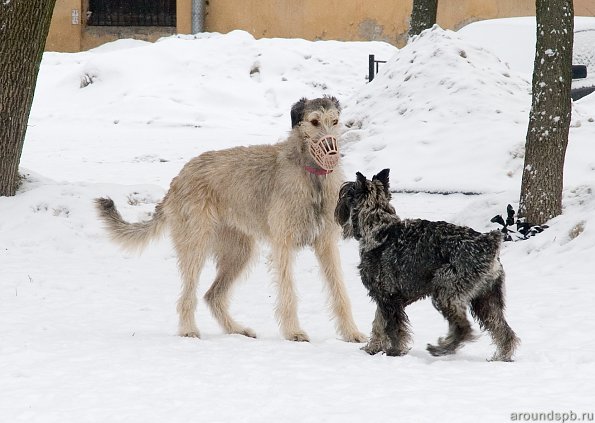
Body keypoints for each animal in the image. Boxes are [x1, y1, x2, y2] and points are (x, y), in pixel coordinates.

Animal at [95, 97, 366, 344]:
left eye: (335, 121)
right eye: (314, 121)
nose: (332, 153)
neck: (311, 175)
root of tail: (178, 179)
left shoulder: (326, 244)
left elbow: (340, 291)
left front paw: (351, 333)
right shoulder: (283, 244)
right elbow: (288, 291)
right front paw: (293, 332)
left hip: (239, 250)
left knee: (212, 295)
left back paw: (236, 329)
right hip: (196, 242)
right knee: (188, 295)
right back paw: (188, 330)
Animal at [336, 169, 520, 362]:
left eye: (347, 193)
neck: (379, 228)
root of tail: (489, 242)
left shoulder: (389, 297)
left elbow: (393, 329)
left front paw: (394, 351)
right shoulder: (384, 298)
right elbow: (378, 324)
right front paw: (373, 348)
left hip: (446, 292)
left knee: (463, 328)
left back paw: (441, 348)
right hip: (486, 300)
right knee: (503, 330)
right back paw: (501, 357)